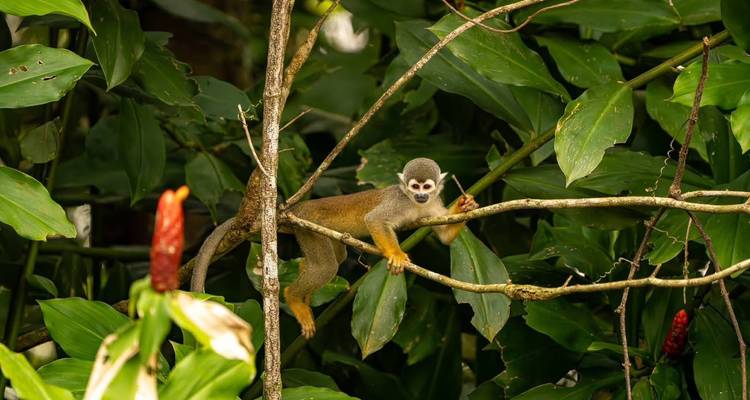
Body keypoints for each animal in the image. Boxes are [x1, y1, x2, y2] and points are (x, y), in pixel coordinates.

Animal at [283, 157, 479, 338]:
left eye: (426, 187)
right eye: (415, 186)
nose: (421, 195)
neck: (414, 203)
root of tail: (297, 208)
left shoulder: (434, 203)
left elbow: (445, 236)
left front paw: (465, 206)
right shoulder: (399, 202)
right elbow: (374, 219)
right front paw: (396, 255)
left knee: (336, 258)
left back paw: (304, 274)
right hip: (307, 224)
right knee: (327, 266)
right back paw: (293, 297)